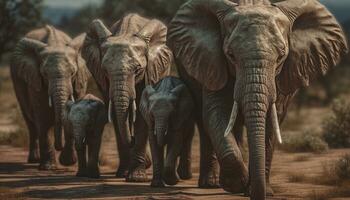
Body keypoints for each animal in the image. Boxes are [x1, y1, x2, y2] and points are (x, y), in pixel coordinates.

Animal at [10, 26, 90, 170]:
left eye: (72, 73)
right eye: (45, 74)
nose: (59, 147)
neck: (55, 43)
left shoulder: (80, 80)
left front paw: (68, 162)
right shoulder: (35, 79)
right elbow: (43, 116)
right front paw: (48, 167)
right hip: (17, 82)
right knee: (30, 122)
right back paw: (34, 160)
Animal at [81, 13, 174, 180]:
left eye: (137, 70)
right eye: (105, 70)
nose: (132, 139)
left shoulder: (149, 72)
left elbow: (141, 116)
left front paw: (136, 177)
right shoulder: (103, 80)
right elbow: (116, 116)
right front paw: (124, 173)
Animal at [168, 0, 348, 199]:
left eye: (281, 56)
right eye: (230, 55)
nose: (256, 193)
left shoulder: (282, 76)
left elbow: (272, 120)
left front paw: (262, 191)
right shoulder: (214, 64)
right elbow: (215, 113)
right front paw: (235, 184)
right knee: (203, 120)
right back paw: (211, 184)